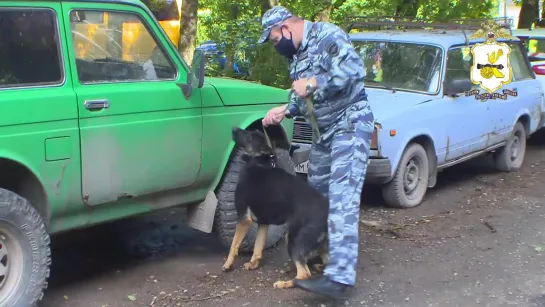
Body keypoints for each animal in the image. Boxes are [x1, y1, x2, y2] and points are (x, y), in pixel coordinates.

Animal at [220, 127, 328, 288]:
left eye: (250, 136)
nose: (233, 128)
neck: (259, 161)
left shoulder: (244, 218)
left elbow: (234, 246)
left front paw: (227, 264)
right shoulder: (264, 221)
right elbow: (258, 247)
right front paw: (253, 264)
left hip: (293, 239)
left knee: (304, 274)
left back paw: (284, 283)